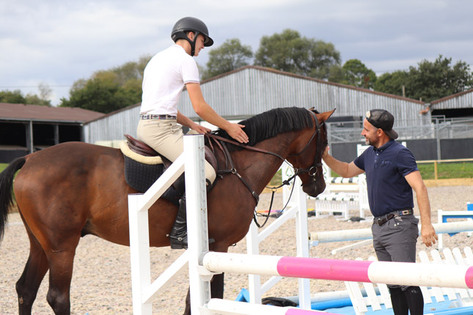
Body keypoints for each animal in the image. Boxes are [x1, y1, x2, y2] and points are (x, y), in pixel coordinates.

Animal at [0, 107, 334, 314]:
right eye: (323, 142)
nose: (317, 186)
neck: (240, 164)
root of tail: (30, 159)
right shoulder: (217, 247)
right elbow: (211, 297)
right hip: (62, 247)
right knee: (58, 297)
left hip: (41, 245)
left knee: (25, 289)